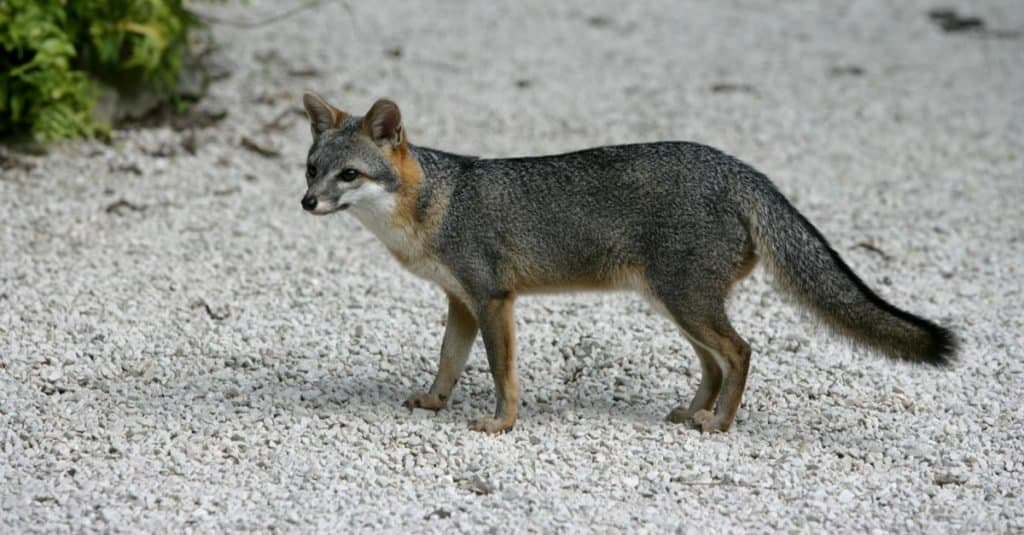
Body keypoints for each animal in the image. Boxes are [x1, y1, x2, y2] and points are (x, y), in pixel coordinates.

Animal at [299, 91, 954, 432]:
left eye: (348, 175)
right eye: (311, 169)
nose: (307, 202)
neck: (435, 203)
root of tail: (737, 168)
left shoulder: (492, 299)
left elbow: (501, 372)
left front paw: (501, 424)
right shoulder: (461, 302)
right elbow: (448, 363)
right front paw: (436, 403)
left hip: (686, 303)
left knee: (741, 352)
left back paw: (718, 423)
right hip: (675, 305)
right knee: (715, 362)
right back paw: (695, 410)